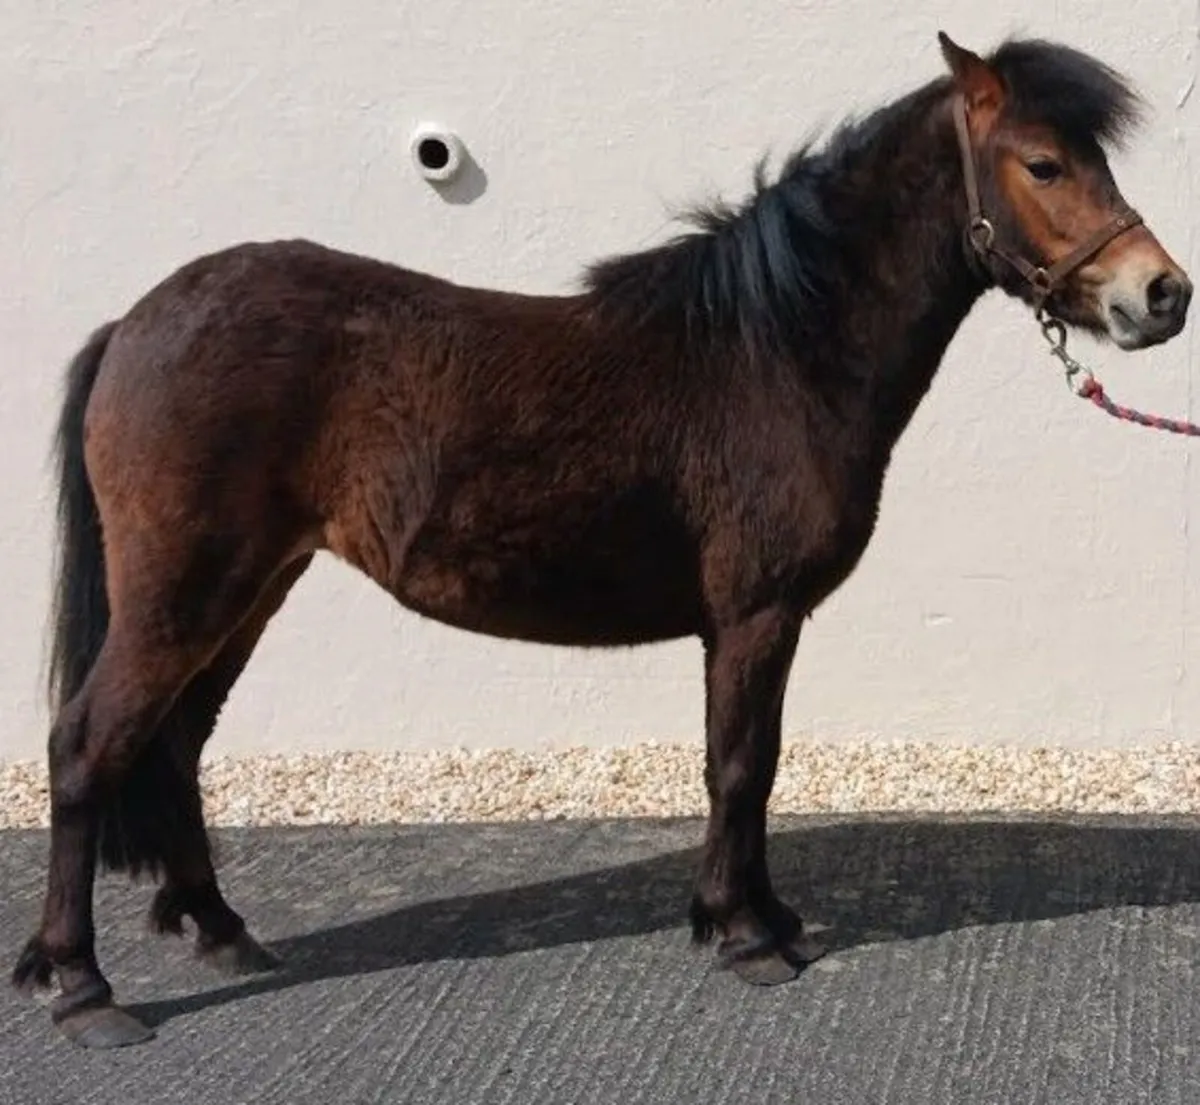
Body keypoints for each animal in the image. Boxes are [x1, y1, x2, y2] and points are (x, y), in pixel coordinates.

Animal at [11, 31, 1192, 1049]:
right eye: (1043, 163)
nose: (1162, 294)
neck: (771, 352)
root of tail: (135, 323)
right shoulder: (754, 613)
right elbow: (737, 766)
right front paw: (746, 935)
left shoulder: (760, 622)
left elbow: (757, 765)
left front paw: (762, 915)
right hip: (187, 593)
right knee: (88, 745)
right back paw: (83, 987)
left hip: (248, 591)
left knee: (173, 743)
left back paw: (221, 931)